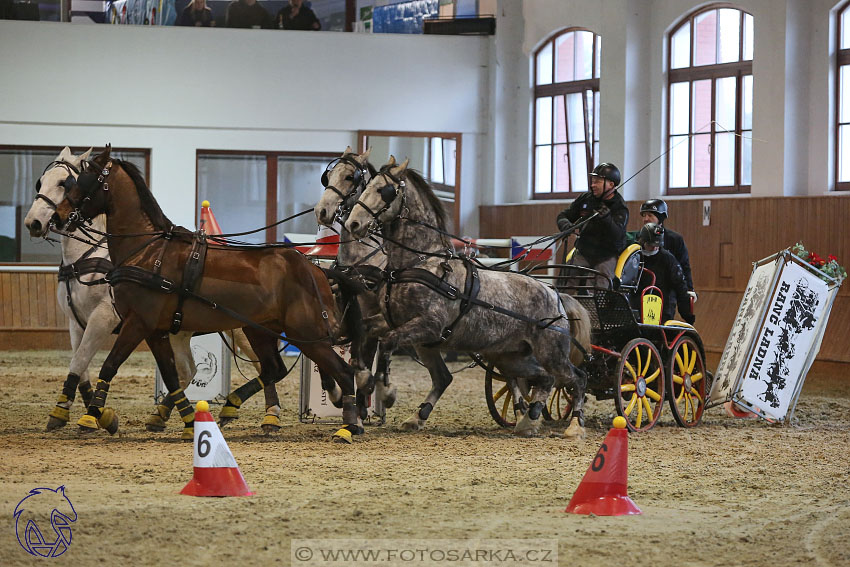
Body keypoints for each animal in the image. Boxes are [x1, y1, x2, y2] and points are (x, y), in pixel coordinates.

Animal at [44, 146, 362, 444]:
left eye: (82, 180)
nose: (57, 217)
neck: (149, 252)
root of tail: (315, 269)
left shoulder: (137, 323)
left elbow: (109, 365)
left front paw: (97, 416)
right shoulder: (155, 330)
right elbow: (172, 376)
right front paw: (186, 422)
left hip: (305, 335)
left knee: (343, 373)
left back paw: (349, 426)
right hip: (259, 330)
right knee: (274, 368)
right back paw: (234, 406)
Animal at [314, 146, 398, 422]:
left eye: (350, 177)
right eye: (328, 177)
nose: (322, 211)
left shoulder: (376, 322)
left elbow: (371, 356)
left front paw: (375, 391)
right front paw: (337, 394)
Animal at [344, 158, 588, 438]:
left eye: (384, 190)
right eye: (365, 187)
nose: (352, 224)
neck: (421, 262)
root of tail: (555, 294)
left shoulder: (429, 325)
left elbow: (386, 344)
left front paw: (387, 392)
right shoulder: (393, 321)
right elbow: (366, 332)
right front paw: (362, 378)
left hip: (551, 353)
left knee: (575, 379)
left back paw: (574, 426)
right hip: (510, 358)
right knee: (541, 379)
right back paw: (527, 419)